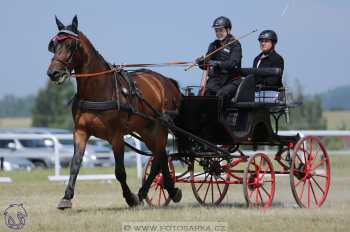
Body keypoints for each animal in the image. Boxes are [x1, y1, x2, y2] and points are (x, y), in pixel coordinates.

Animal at [46, 15, 182, 208]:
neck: (98, 89)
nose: (53, 73)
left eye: (71, 45)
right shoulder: (80, 131)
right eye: (53, 45)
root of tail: (166, 81)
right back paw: (153, 191)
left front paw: (130, 197)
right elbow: (75, 164)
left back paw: (162, 191)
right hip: (147, 129)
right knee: (160, 157)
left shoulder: (116, 136)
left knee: (160, 158)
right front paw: (66, 197)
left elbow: (120, 171)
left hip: (160, 127)